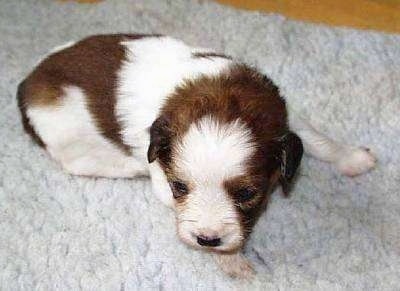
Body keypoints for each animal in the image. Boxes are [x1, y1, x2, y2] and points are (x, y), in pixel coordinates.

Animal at [17, 34, 376, 278]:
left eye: (246, 193)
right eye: (179, 187)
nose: (207, 240)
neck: (224, 96)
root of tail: (26, 84)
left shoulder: (286, 120)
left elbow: (317, 139)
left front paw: (353, 158)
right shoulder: (162, 176)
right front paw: (231, 260)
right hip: (66, 131)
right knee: (76, 162)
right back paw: (129, 165)